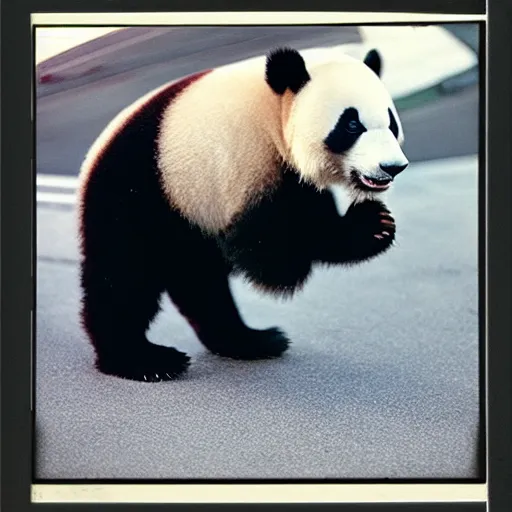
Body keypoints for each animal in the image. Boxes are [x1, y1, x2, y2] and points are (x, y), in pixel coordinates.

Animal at [78, 47, 410, 380]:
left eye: (391, 123)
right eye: (352, 125)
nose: (392, 167)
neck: (273, 109)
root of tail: (92, 159)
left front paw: (374, 225)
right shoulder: (242, 159)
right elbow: (270, 256)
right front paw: (369, 225)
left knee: (199, 281)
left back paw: (249, 341)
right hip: (140, 194)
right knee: (127, 276)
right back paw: (142, 359)